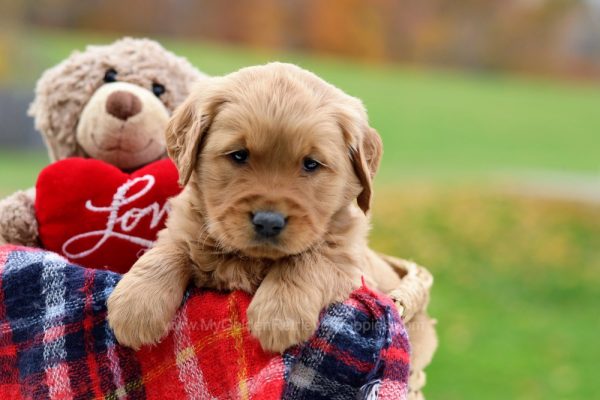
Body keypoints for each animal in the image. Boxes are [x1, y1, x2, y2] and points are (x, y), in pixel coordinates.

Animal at [108, 62, 400, 354]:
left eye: (311, 164)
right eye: (239, 155)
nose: (269, 221)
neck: (249, 259)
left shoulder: (350, 263)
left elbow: (310, 258)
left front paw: (279, 314)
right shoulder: (183, 228)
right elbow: (171, 248)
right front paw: (136, 305)